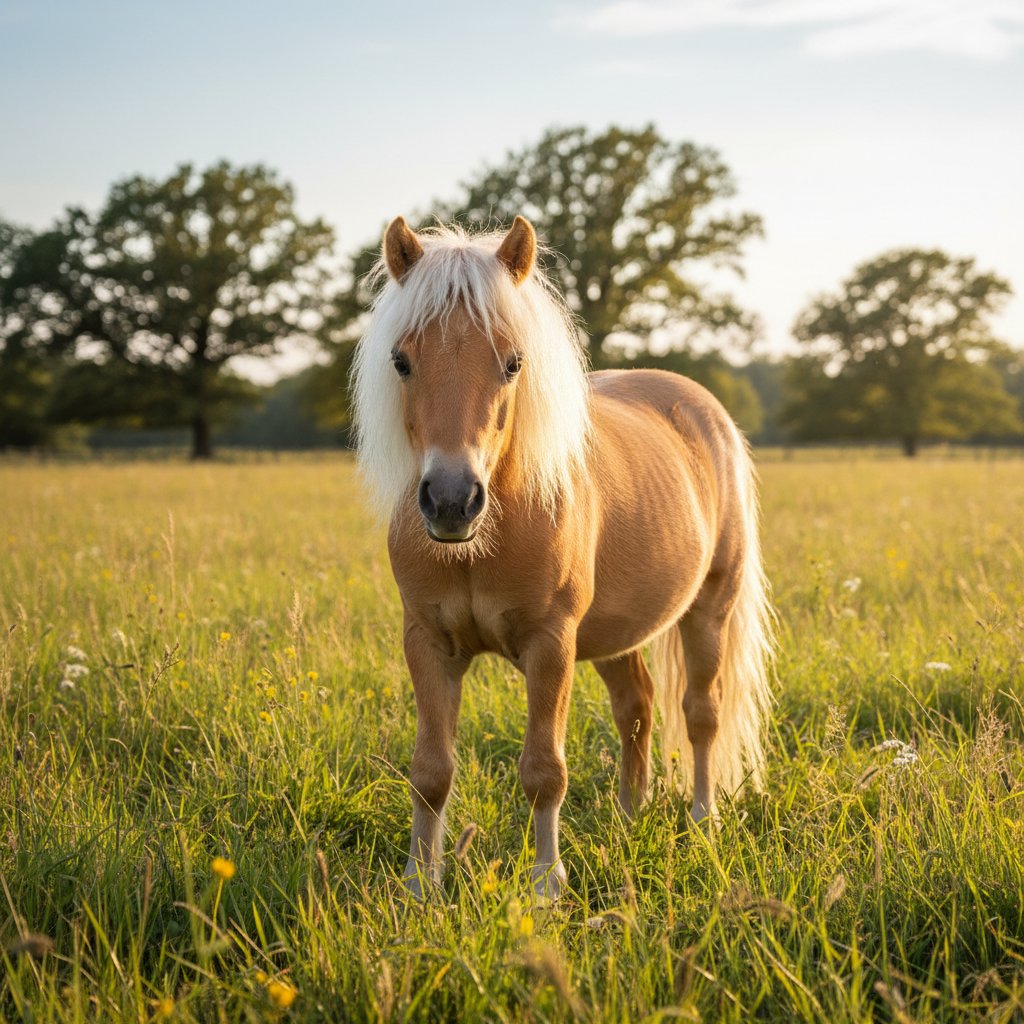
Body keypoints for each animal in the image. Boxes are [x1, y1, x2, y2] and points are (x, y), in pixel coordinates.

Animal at [351, 214, 774, 899]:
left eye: (513, 362)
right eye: (401, 360)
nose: (451, 500)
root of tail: (705, 410)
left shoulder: (552, 645)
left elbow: (544, 769)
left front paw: (546, 885)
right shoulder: (428, 643)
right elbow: (430, 770)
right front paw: (420, 884)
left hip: (710, 608)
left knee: (701, 714)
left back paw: (702, 820)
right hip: (617, 632)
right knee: (637, 708)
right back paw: (630, 818)